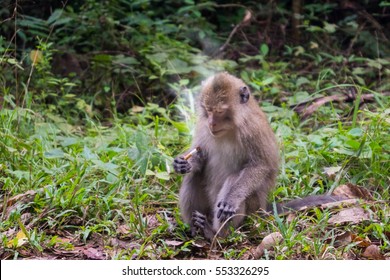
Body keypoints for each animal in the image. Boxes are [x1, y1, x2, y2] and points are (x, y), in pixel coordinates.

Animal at [174, 72, 344, 241]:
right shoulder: (202, 126)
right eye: (208, 110)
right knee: (193, 177)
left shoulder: (252, 129)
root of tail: (262, 207)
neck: (231, 127)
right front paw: (184, 163)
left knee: (233, 179)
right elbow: (200, 155)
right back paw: (196, 228)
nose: (212, 123)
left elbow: (260, 165)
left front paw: (232, 198)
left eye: (220, 112)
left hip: (253, 206)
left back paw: (215, 234)